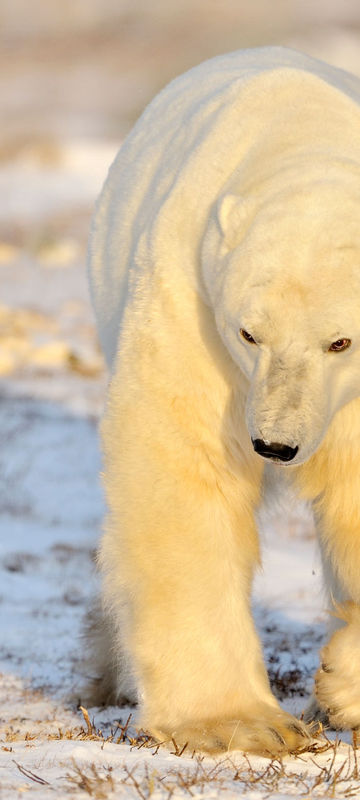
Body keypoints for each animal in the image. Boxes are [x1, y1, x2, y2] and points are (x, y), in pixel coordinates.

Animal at [87, 47, 360, 752]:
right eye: (248, 332)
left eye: (340, 340)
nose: (276, 444)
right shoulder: (191, 300)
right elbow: (186, 470)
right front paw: (239, 723)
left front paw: (342, 683)